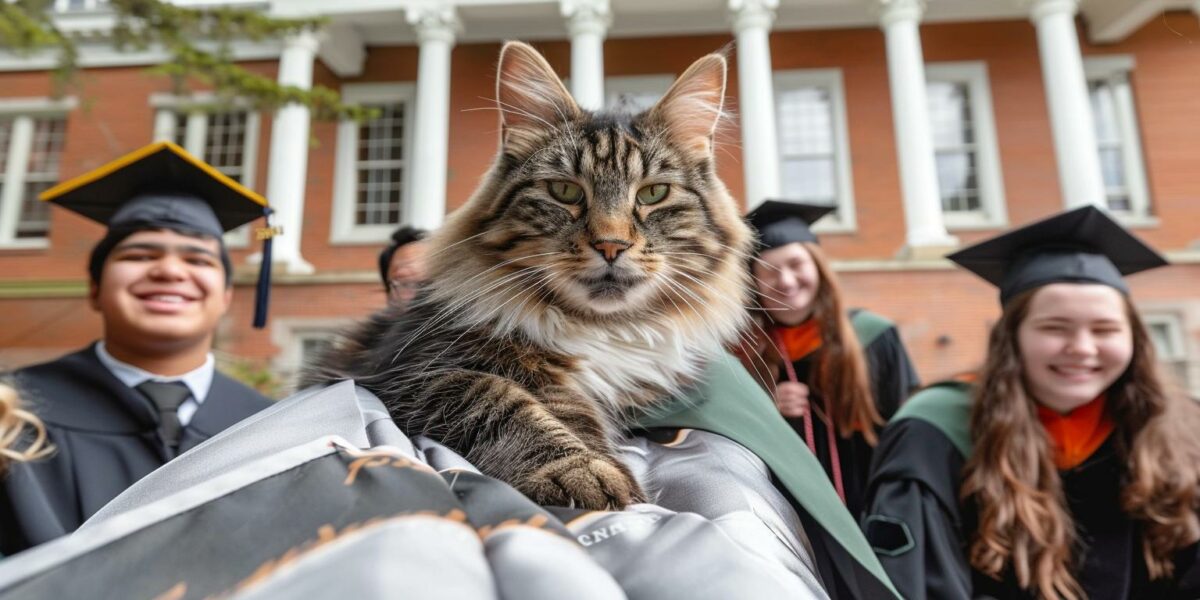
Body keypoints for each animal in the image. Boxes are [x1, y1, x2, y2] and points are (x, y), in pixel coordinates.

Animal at [314, 42, 753, 508]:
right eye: (565, 191)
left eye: (654, 193)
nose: (611, 245)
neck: (595, 329)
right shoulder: (411, 369)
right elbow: (502, 399)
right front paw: (582, 473)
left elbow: (566, 415)